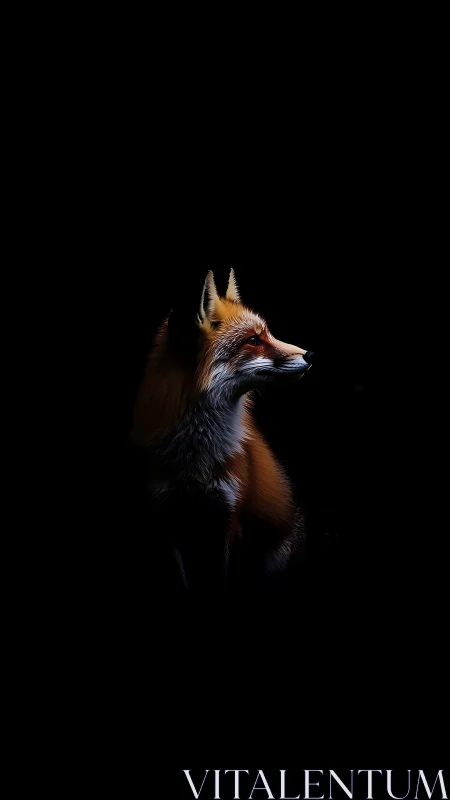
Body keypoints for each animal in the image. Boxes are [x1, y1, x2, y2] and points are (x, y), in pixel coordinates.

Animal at [129, 269, 314, 590]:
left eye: (267, 333)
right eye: (253, 340)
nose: (310, 355)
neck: (194, 458)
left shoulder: (232, 516)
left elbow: (226, 576)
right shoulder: (167, 518)